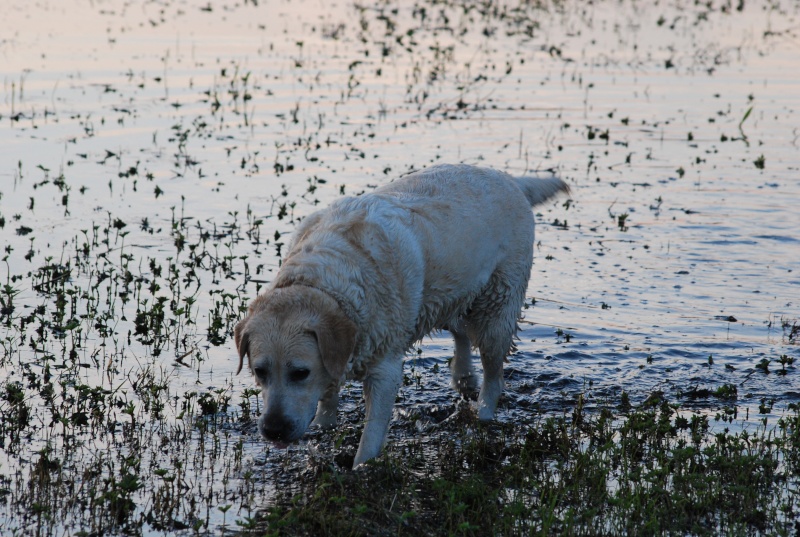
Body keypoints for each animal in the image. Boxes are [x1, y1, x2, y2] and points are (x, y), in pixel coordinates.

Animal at [234, 162, 572, 464]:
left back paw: (483, 412)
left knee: (494, 373)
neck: (324, 279)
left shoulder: (385, 370)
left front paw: (361, 469)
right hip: (450, 289)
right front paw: (323, 422)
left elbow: (370, 436)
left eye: (300, 373)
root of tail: (509, 178)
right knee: (460, 330)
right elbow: (328, 393)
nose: (273, 430)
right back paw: (463, 378)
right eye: (260, 371)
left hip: (498, 305)